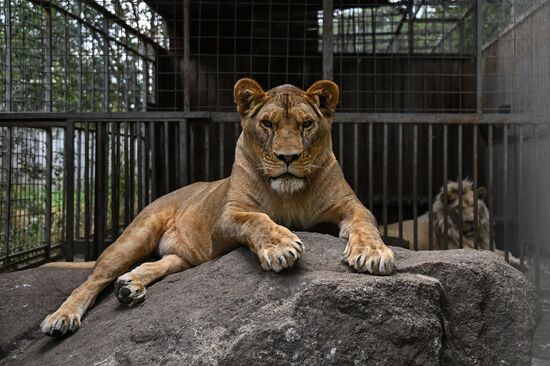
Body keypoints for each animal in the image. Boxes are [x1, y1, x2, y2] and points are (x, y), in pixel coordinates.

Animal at [41, 78, 396, 336]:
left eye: (306, 124)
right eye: (267, 124)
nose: (288, 157)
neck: (289, 194)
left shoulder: (349, 205)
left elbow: (365, 222)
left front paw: (373, 253)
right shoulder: (227, 218)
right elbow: (257, 219)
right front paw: (280, 246)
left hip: (184, 257)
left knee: (162, 263)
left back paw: (130, 287)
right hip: (137, 234)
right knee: (91, 280)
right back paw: (62, 318)